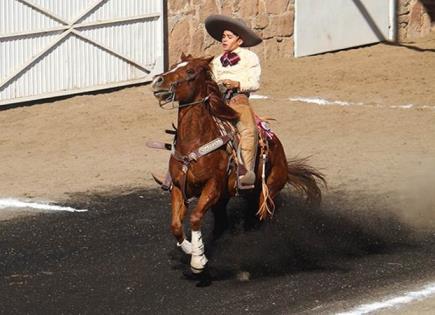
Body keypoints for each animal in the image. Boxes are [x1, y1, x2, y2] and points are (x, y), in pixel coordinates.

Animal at [152, 53, 326, 282]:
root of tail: (282, 156)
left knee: (259, 220)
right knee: (223, 225)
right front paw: (193, 250)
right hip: (229, 198)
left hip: (267, 192)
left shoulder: (213, 186)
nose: (158, 80)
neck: (194, 141)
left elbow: (196, 217)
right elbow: (175, 225)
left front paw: (198, 262)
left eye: (190, 71)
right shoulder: (180, 188)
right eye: (173, 66)